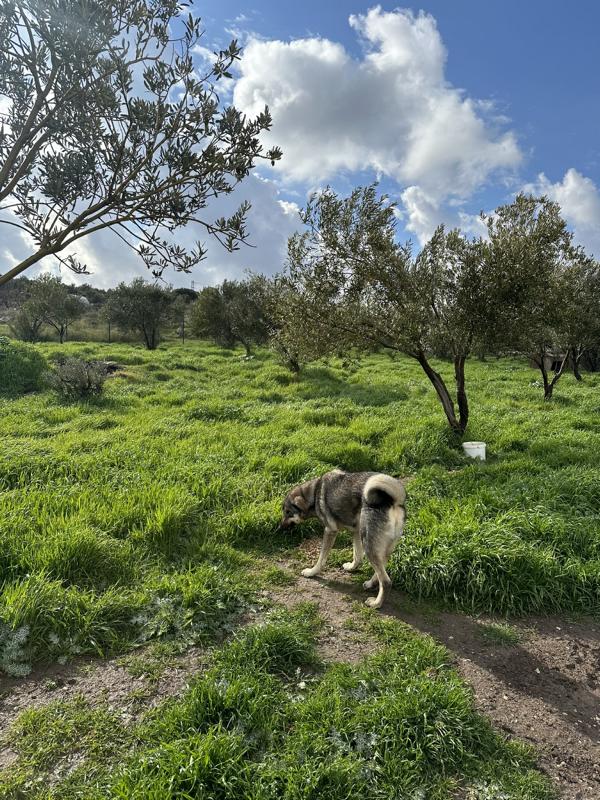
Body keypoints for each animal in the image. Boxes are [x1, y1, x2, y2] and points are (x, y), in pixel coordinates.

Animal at [280, 469, 406, 609]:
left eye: (288, 512)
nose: (279, 527)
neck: (314, 492)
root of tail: (393, 501)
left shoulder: (330, 531)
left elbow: (321, 559)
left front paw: (312, 572)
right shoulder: (355, 532)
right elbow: (357, 556)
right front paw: (352, 567)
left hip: (369, 545)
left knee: (386, 581)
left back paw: (376, 603)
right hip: (376, 544)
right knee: (381, 568)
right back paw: (370, 584)